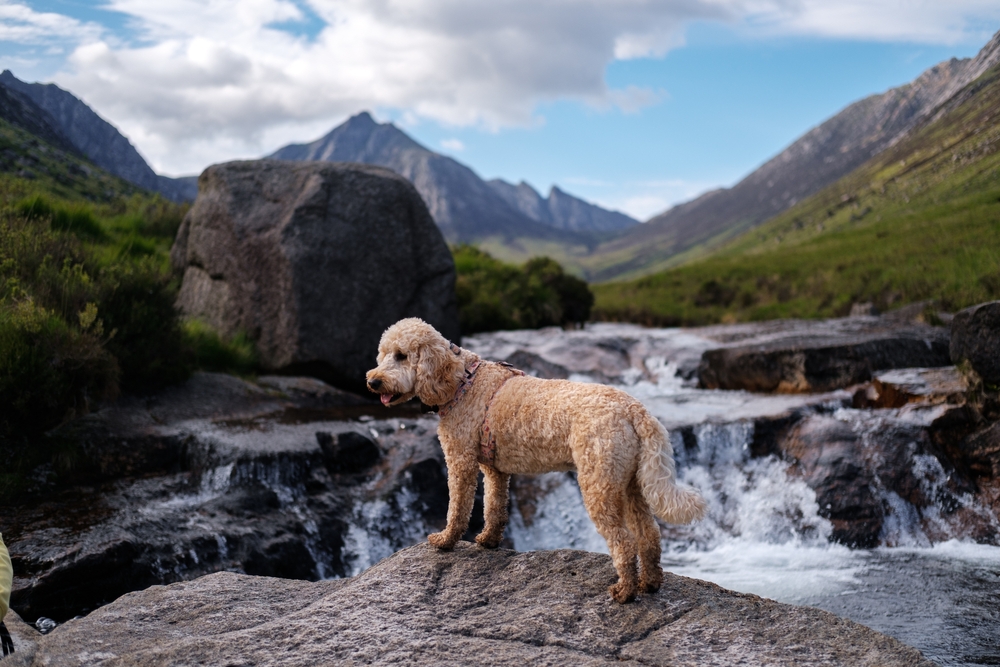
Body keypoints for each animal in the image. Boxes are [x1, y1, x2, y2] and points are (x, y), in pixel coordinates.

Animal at [364, 318, 708, 604]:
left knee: (624, 541)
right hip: (630, 482)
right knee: (648, 534)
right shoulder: (494, 469)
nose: (373, 381)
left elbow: (458, 507)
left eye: (401, 355)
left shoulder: (460, 461)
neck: (462, 381)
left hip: (599, 483)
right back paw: (650, 583)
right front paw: (489, 540)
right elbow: (494, 506)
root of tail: (635, 409)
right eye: (383, 354)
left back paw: (624, 592)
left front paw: (446, 540)